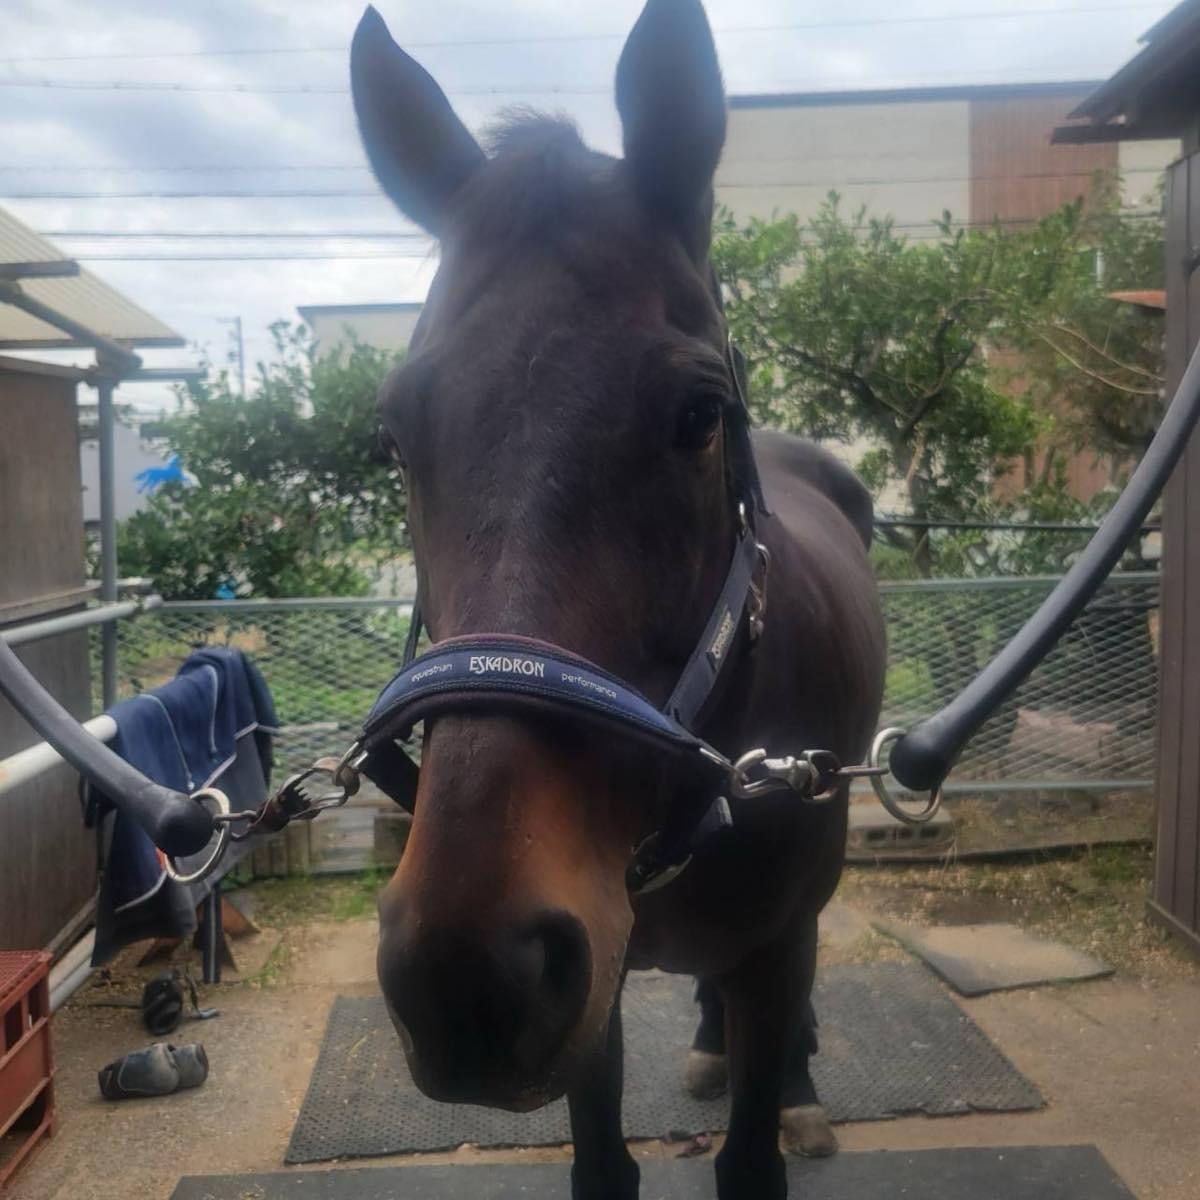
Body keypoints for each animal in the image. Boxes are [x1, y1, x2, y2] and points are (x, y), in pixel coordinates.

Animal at [351, 1, 886, 1195]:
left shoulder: (777, 944)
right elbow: (604, 1158)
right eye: (395, 436)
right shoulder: (589, 972)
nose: (467, 973)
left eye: (698, 415)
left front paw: (784, 1095)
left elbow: (751, 1151)